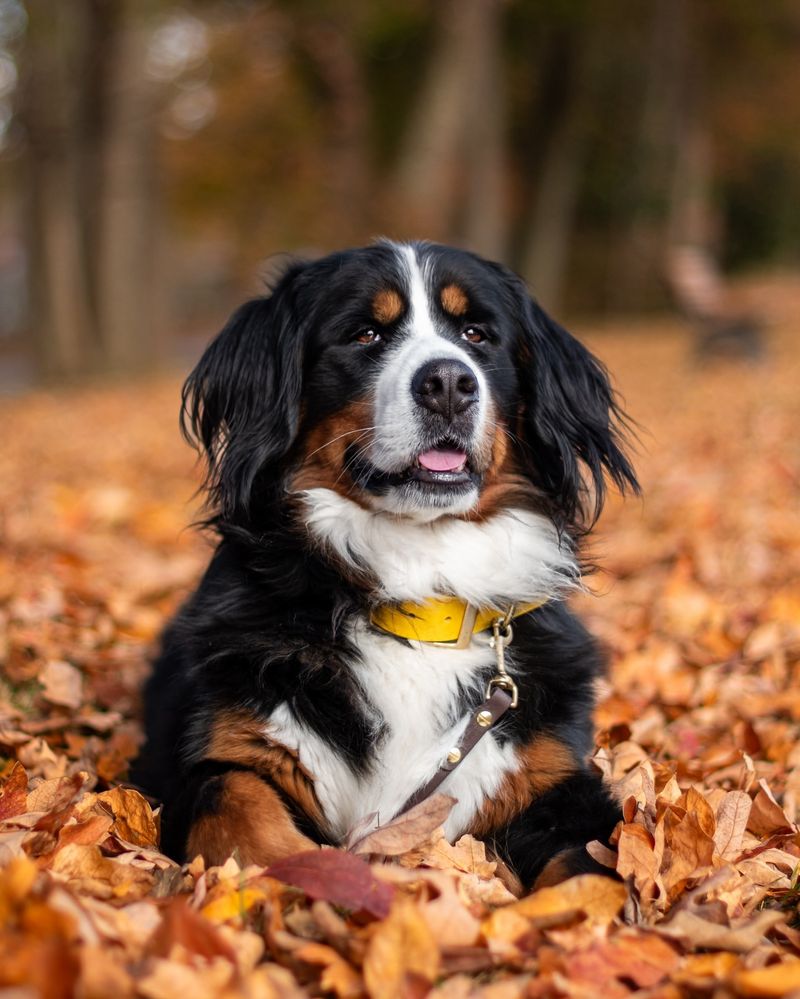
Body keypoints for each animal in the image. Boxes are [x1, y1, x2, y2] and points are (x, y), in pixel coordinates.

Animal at [134, 242, 640, 892]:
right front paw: (301, 872)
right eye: (365, 334)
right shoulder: (219, 747)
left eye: (476, 334)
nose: (449, 382)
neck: (420, 589)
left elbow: (592, 874)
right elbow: (231, 800)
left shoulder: (548, 778)